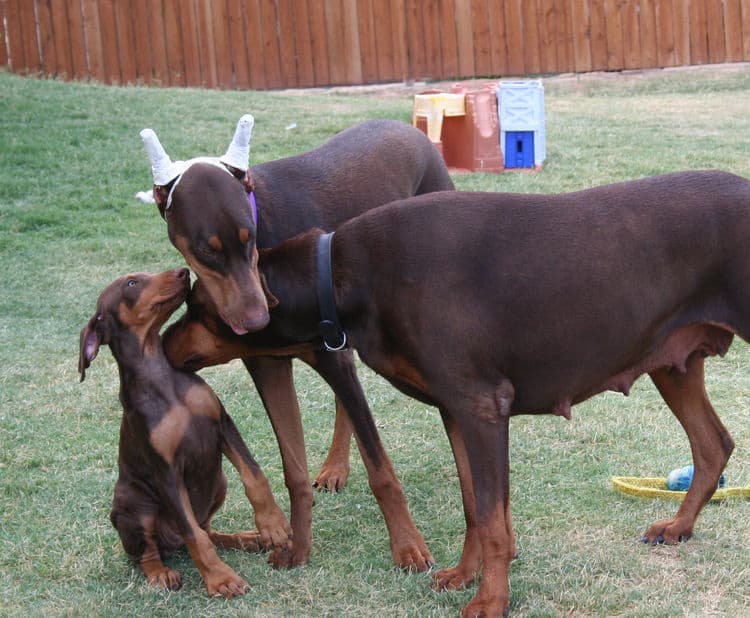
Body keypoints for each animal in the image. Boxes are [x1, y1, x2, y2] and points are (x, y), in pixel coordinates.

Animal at [78, 268, 292, 596]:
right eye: (132, 283)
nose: (183, 271)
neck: (160, 375)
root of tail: (171, 541)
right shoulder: (165, 471)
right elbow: (194, 536)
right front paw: (221, 579)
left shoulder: (223, 425)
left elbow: (254, 476)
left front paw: (273, 525)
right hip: (132, 507)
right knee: (147, 553)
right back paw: (160, 574)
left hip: (219, 481)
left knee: (207, 530)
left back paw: (246, 537)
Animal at [144, 116, 456, 568]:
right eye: (207, 249)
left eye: (249, 237)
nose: (258, 318)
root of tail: (406, 127)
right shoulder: (269, 365)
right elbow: (293, 467)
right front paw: (297, 545)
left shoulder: (330, 354)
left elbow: (381, 469)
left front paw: (408, 546)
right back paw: (336, 466)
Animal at [251, 170, 748, 616]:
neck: (341, 272)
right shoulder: (456, 410)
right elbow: (475, 505)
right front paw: (464, 575)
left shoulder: (482, 407)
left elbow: (491, 520)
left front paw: (490, 601)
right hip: (672, 362)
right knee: (713, 445)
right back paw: (678, 527)